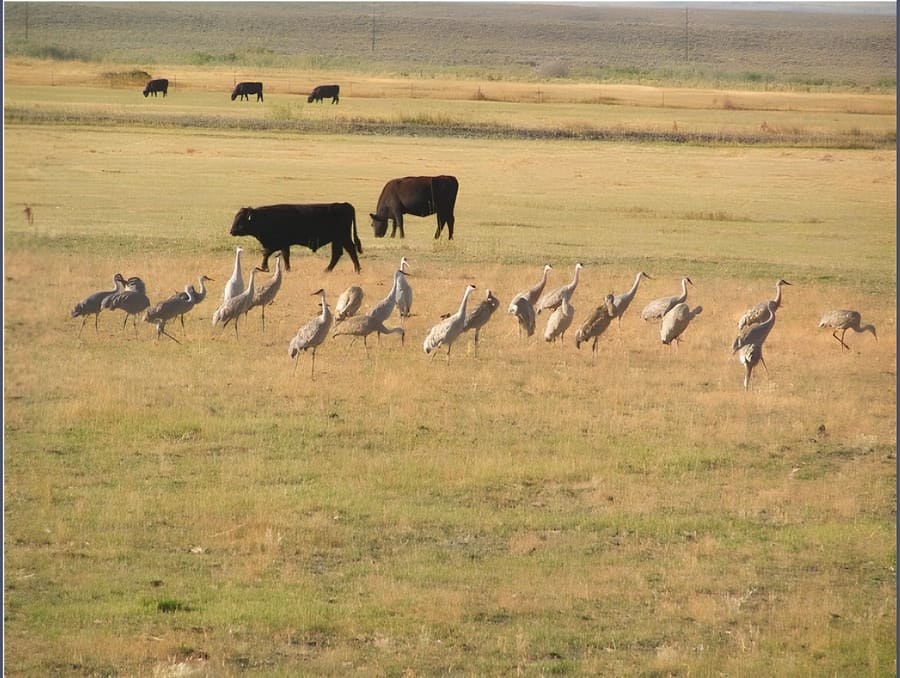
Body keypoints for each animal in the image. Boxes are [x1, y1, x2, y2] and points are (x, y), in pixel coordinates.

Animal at [230, 203, 363, 273]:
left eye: (241, 219)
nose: (232, 231)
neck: (264, 217)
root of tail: (344, 204)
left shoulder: (279, 242)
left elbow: (269, 253)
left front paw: (266, 267)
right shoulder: (281, 244)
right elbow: (281, 255)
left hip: (343, 237)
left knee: (350, 250)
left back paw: (357, 270)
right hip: (337, 239)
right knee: (337, 253)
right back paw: (327, 270)